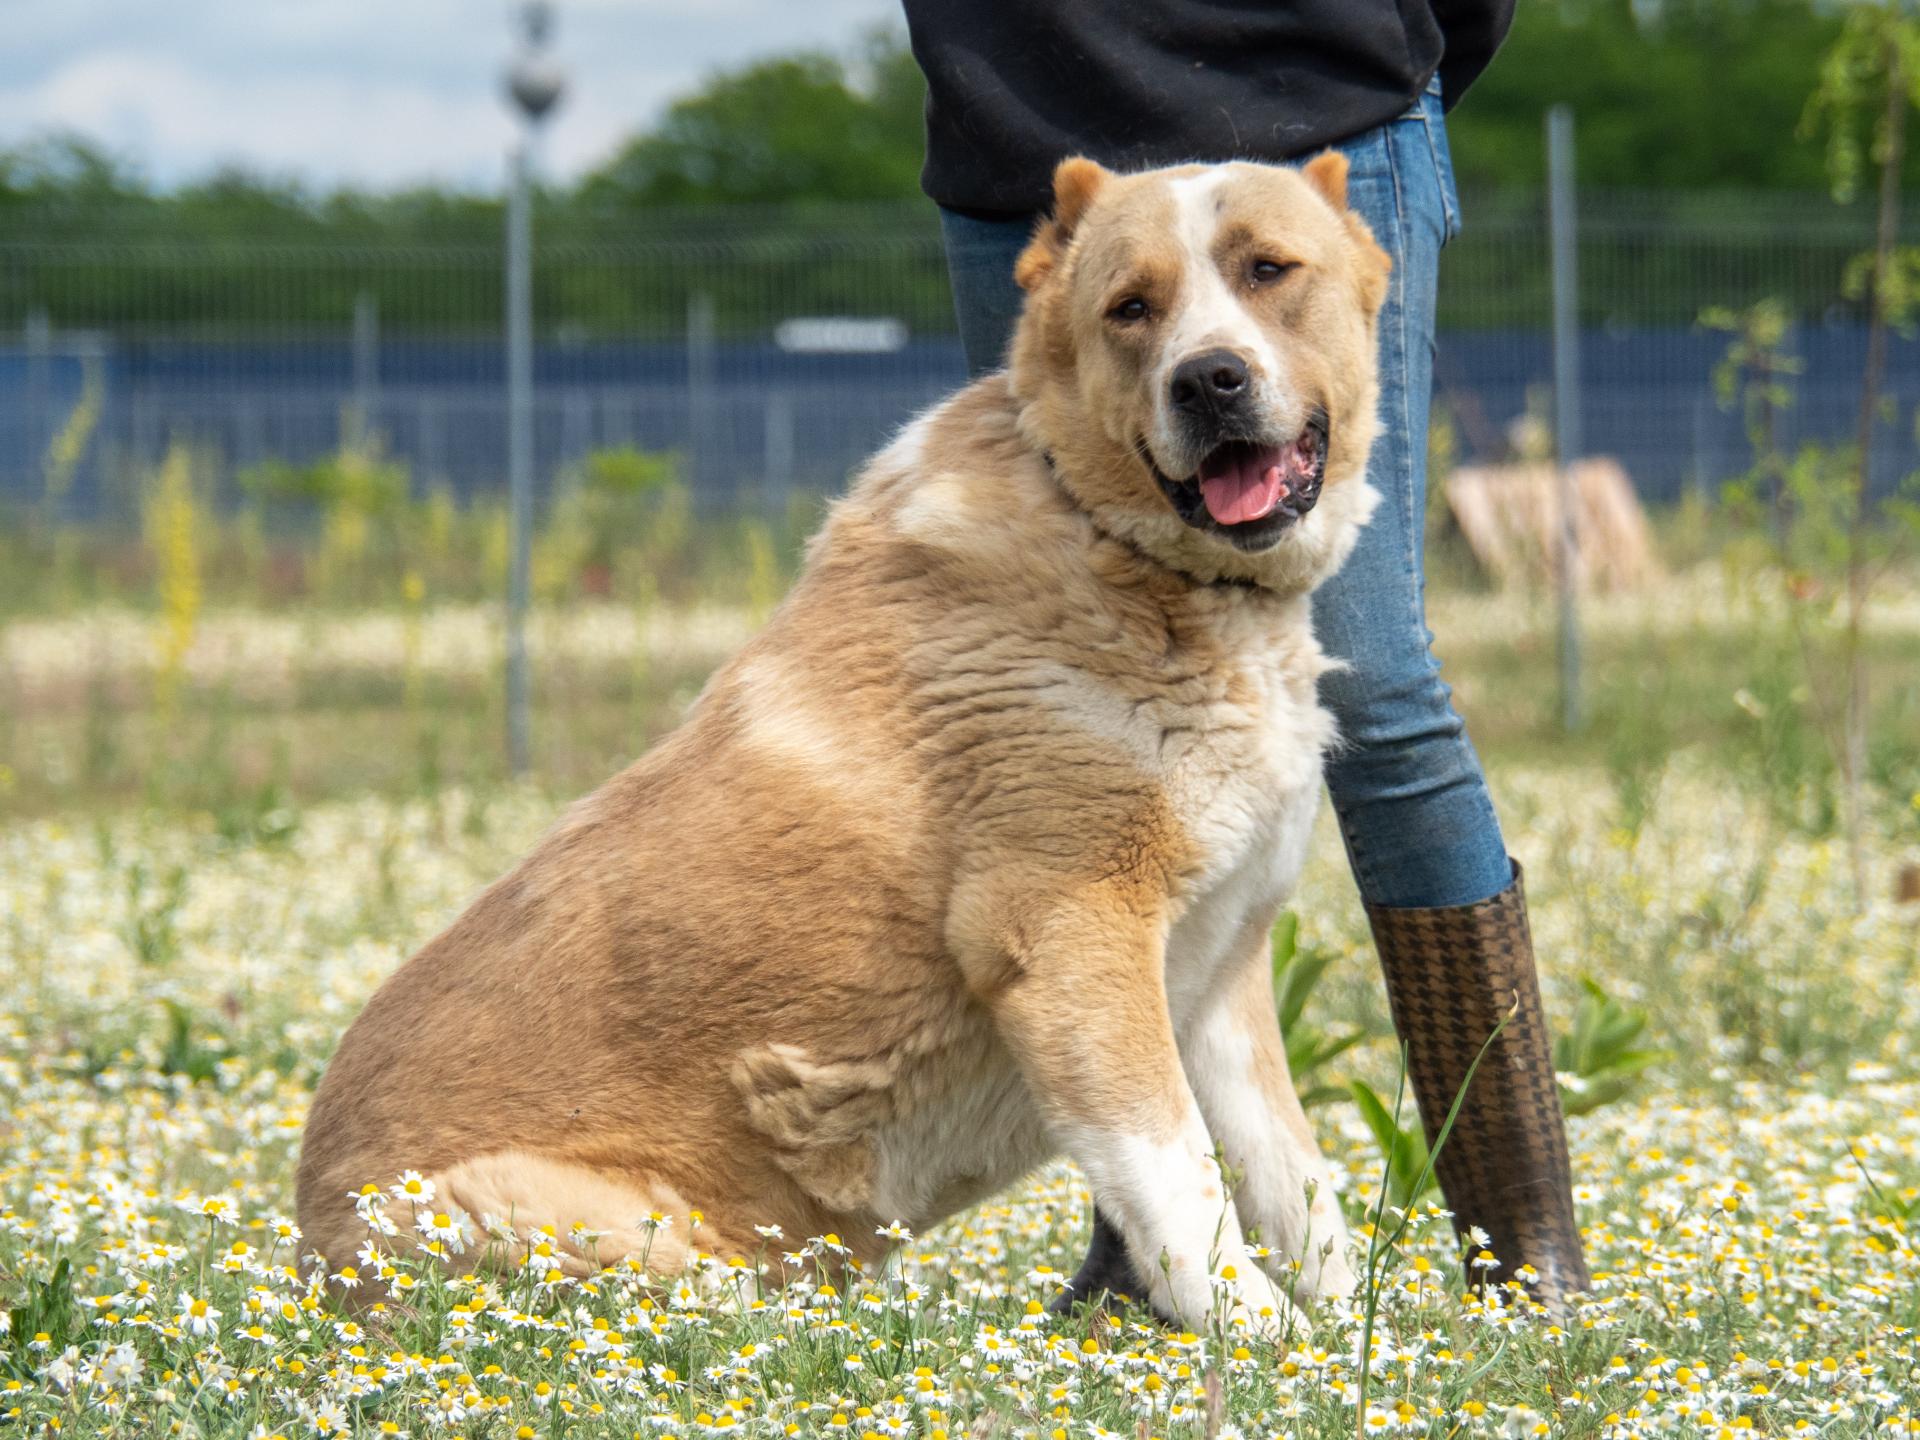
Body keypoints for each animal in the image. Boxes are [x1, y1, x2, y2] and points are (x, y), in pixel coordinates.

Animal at [297, 151, 1390, 1333]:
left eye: (1268, 270)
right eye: (1131, 309)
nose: (1208, 381)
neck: (1120, 543)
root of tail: (306, 1262)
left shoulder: (1222, 975)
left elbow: (1294, 1181)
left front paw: (1357, 1333)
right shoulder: (1066, 932)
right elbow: (1179, 1183)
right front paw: (1267, 1343)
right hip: (602, 1234)